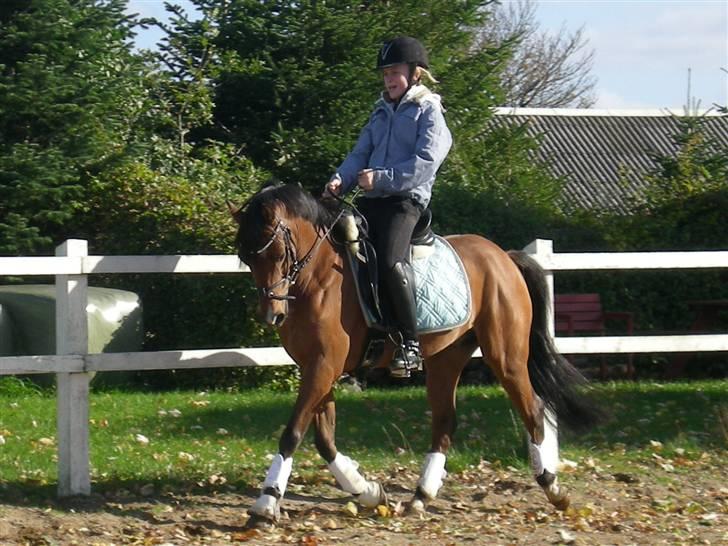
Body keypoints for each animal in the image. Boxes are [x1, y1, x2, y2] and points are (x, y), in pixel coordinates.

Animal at [233, 181, 604, 524]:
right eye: (248, 258)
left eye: (277, 252)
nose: (271, 315)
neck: (320, 277)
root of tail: (502, 256)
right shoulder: (318, 366)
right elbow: (324, 439)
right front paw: (367, 491)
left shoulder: (324, 365)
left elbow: (293, 432)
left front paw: (266, 504)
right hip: (446, 357)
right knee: (445, 421)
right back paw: (421, 496)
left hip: (506, 356)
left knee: (533, 409)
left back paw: (553, 488)